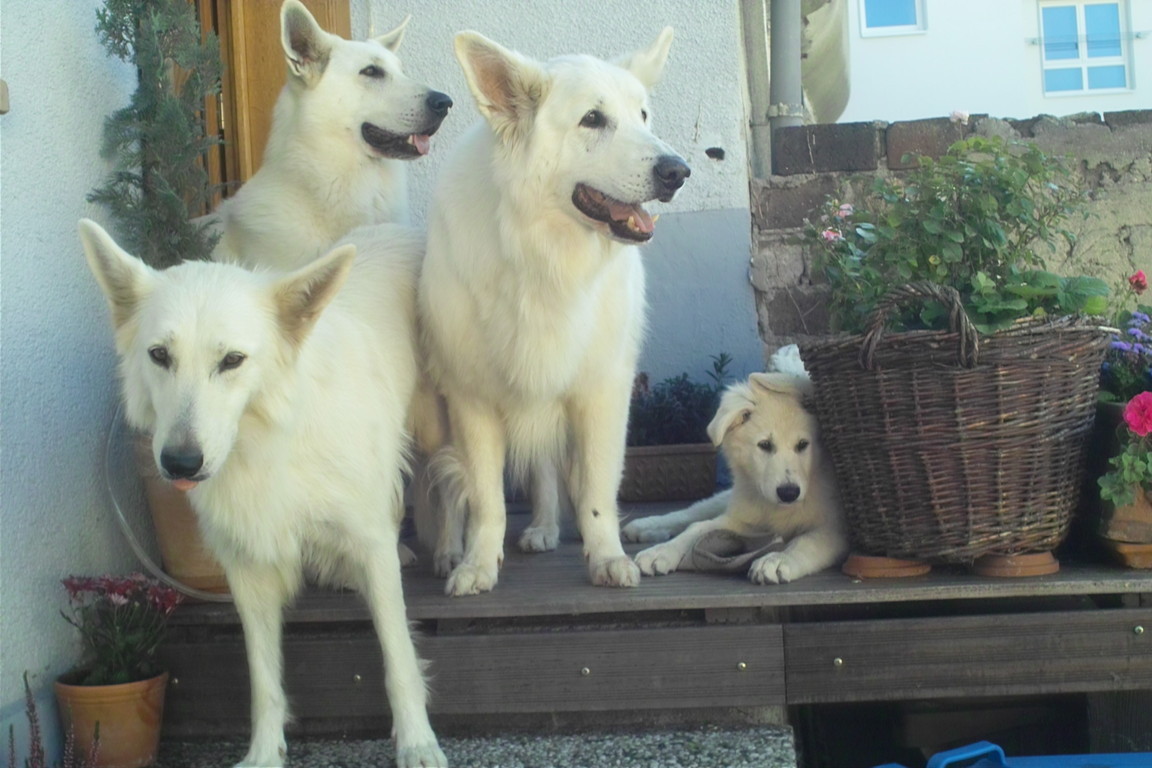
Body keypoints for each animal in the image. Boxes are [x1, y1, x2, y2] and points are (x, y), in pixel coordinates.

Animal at [78, 219, 447, 768]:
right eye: (160, 356)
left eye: (232, 361)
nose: (180, 462)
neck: (269, 438)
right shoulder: (247, 571)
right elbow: (263, 679)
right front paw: (264, 751)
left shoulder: (369, 544)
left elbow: (398, 654)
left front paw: (418, 741)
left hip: (436, 428)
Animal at [416, 29, 691, 596]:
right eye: (593, 119)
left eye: (643, 116)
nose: (678, 171)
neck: (540, 254)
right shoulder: (471, 401)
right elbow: (485, 501)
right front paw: (478, 563)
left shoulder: (601, 392)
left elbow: (596, 492)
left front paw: (606, 557)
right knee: (449, 489)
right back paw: (450, 551)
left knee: (544, 467)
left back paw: (544, 527)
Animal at [623, 373, 848, 584]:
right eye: (765, 445)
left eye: (803, 444)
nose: (789, 493)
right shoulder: (744, 520)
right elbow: (697, 529)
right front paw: (661, 551)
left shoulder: (835, 528)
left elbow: (806, 542)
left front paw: (778, 559)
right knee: (692, 513)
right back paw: (645, 527)